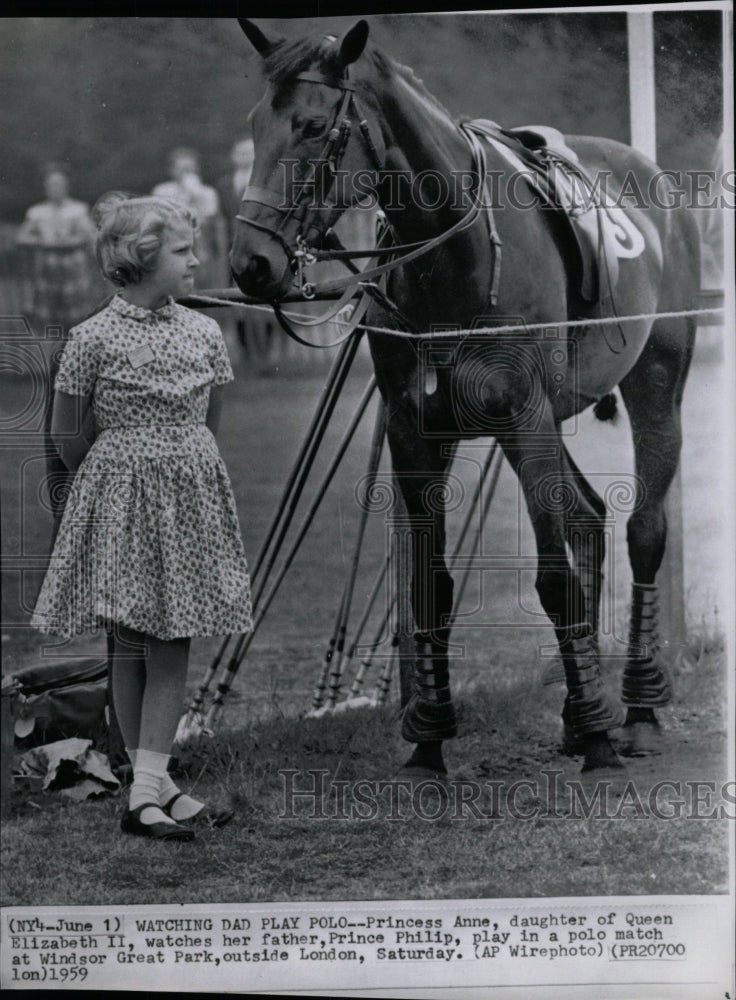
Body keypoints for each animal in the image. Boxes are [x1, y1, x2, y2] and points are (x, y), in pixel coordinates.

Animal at [231, 17, 700, 780]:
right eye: (254, 124)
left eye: (311, 126)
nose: (251, 263)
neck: (454, 252)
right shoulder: (415, 429)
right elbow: (430, 585)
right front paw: (429, 737)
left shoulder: (525, 417)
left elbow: (552, 579)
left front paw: (600, 739)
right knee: (590, 517)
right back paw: (583, 710)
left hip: (654, 385)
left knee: (642, 530)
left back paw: (634, 713)